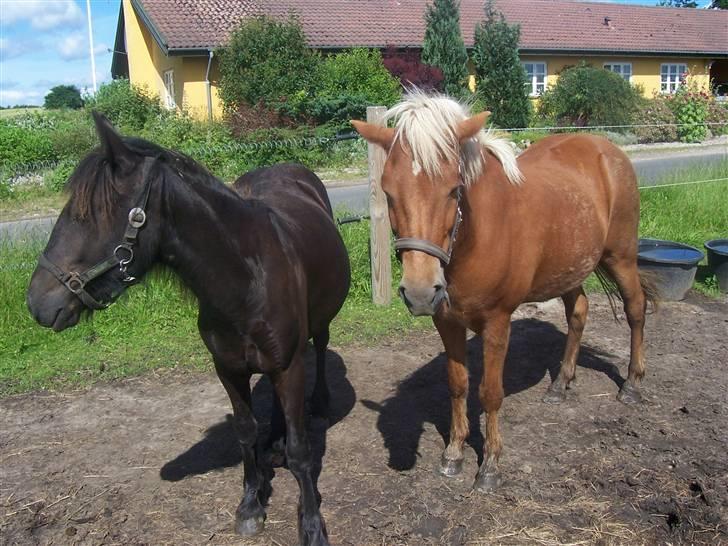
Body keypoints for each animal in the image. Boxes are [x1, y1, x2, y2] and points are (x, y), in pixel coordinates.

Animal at [26, 112, 350, 546]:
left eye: (91, 214)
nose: (38, 303)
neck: (247, 278)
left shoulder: (290, 366)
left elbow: (302, 452)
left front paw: (312, 525)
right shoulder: (228, 368)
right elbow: (246, 432)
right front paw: (251, 505)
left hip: (316, 331)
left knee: (321, 346)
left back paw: (319, 403)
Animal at [352, 91, 658, 492]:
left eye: (454, 189)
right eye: (387, 192)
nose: (420, 293)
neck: (476, 236)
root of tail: (607, 149)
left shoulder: (497, 323)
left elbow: (490, 393)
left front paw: (490, 467)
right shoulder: (446, 321)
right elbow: (457, 385)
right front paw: (453, 454)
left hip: (620, 256)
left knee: (636, 308)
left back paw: (633, 385)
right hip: (569, 267)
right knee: (578, 312)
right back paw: (561, 383)